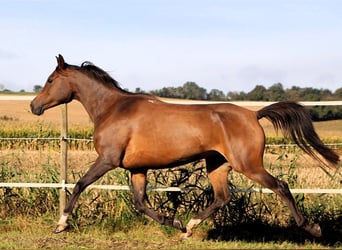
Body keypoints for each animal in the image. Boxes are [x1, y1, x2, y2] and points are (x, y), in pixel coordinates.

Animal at [30, 54, 340, 238]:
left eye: (50, 80)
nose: (34, 106)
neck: (113, 109)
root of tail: (253, 115)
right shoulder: (138, 168)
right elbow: (141, 203)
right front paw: (175, 222)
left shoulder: (108, 159)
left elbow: (80, 184)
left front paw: (61, 224)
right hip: (217, 164)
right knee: (222, 197)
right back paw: (189, 228)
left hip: (248, 164)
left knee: (281, 186)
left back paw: (312, 228)